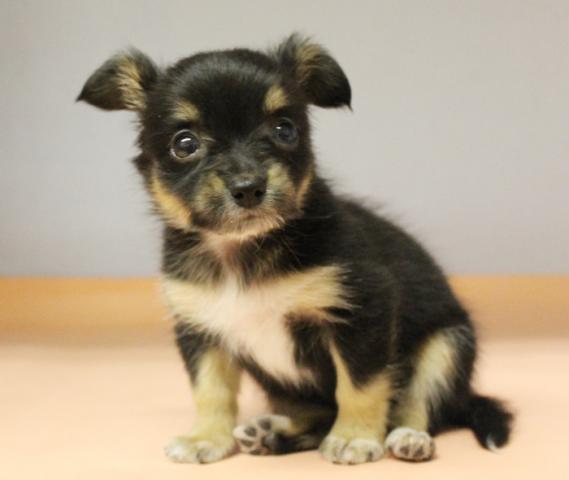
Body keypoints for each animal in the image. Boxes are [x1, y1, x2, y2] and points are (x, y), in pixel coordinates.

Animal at [78, 34, 512, 465]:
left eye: (284, 129)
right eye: (184, 143)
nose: (249, 187)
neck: (243, 250)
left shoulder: (362, 309)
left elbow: (360, 385)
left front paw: (355, 437)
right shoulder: (201, 329)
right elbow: (210, 390)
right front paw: (206, 437)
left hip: (447, 346)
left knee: (420, 403)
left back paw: (409, 438)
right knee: (317, 414)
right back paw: (272, 433)